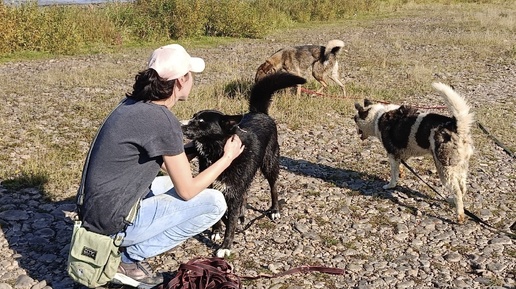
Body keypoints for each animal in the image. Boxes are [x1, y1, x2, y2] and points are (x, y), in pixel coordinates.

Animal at [182, 72, 306, 256]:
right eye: (193, 116)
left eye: (201, 122)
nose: (180, 125)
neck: (217, 153)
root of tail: (259, 112)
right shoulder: (216, 188)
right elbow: (220, 214)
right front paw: (216, 231)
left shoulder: (233, 192)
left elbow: (230, 223)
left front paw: (225, 246)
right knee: (246, 191)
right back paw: (242, 213)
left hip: (269, 164)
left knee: (273, 188)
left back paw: (275, 210)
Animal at [352, 82, 474, 222]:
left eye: (355, 119)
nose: (356, 130)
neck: (377, 116)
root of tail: (456, 126)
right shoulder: (403, 153)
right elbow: (401, 166)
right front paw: (402, 173)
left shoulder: (392, 154)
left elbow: (393, 174)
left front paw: (390, 185)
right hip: (460, 167)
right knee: (462, 188)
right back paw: (452, 201)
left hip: (444, 168)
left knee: (457, 191)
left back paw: (459, 214)